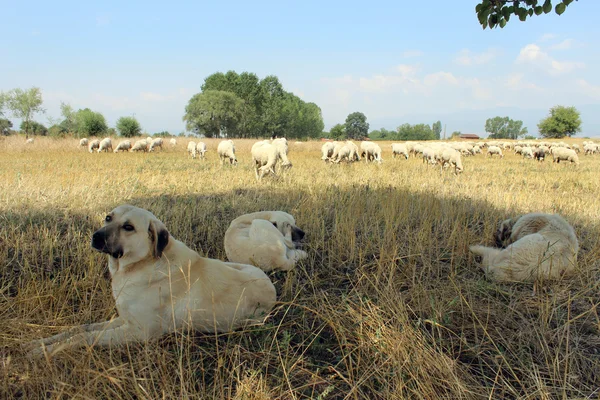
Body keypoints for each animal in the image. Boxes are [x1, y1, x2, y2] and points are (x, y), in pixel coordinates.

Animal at [28, 206, 276, 356]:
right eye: (108, 218)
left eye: (128, 227)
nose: (95, 236)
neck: (142, 265)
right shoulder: (124, 319)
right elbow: (82, 327)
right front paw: (41, 342)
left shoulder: (139, 332)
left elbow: (85, 336)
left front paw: (45, 352)